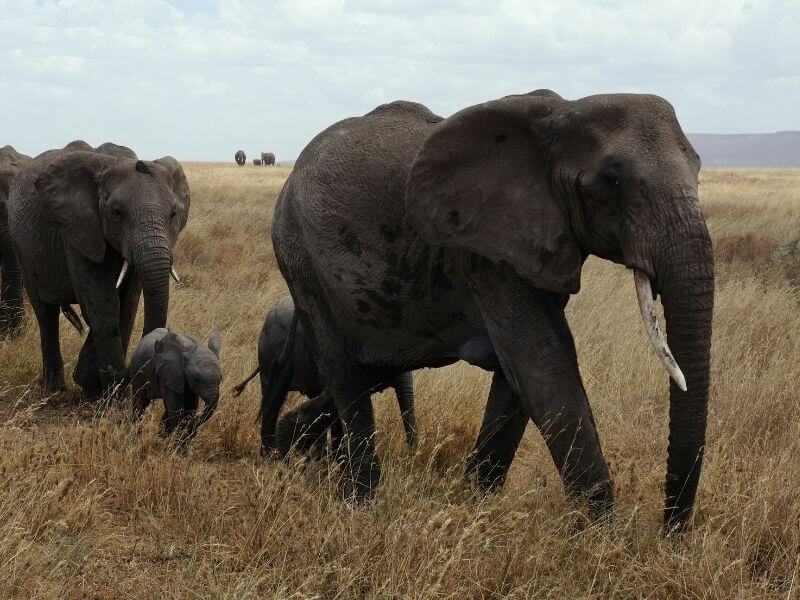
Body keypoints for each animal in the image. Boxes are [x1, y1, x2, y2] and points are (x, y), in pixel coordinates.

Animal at [268, 89, 712, 528]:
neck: (563, 111)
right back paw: (361, 502)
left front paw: (476, 503)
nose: (670, 532)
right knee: (345, 375)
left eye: (698, 166)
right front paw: (601, 533)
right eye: (611, 179)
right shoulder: (487, 251)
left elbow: (522, 374)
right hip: (300, 259)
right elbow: (542, 364)